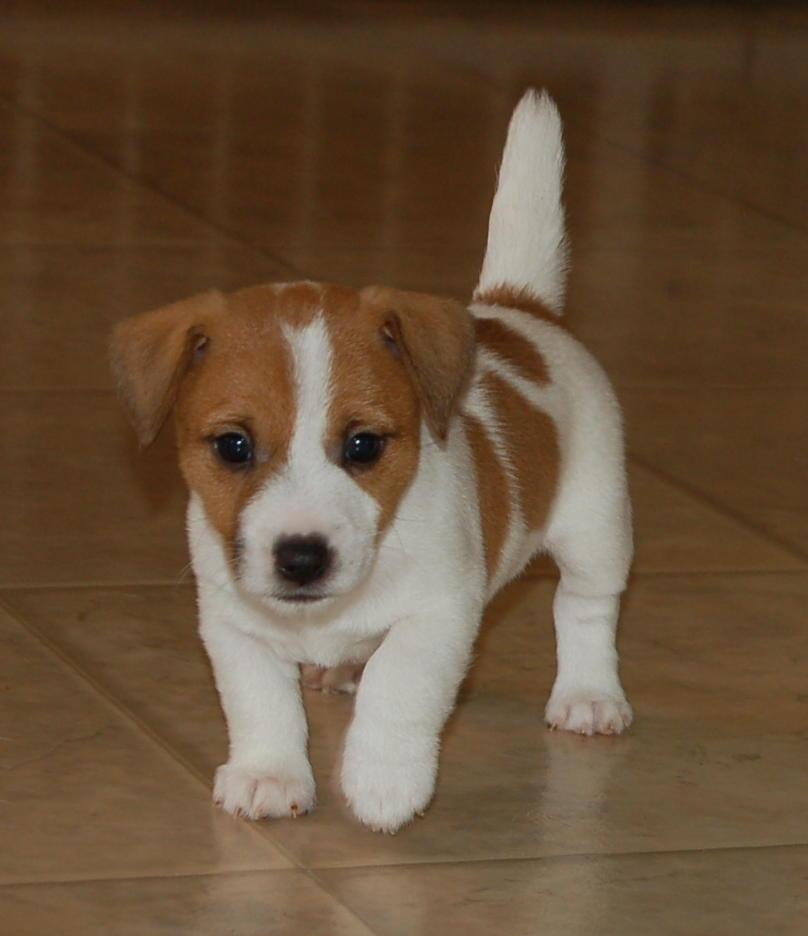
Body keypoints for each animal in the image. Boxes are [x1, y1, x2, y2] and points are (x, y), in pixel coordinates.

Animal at [110, 89, 633, 833]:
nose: (301, 557)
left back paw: (588, 693)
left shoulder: (439, 614)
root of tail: (516, 309)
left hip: (596, 525)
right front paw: (269, 773)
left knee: (586, 606)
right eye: (233, 446)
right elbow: (260, 702)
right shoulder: (234, 625)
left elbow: (400, 684)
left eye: (363, 446)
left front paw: (384, 778)